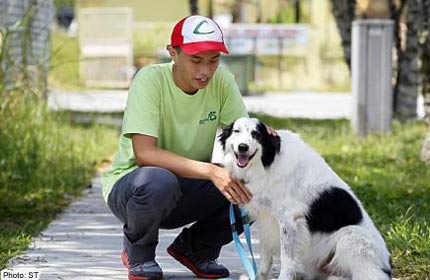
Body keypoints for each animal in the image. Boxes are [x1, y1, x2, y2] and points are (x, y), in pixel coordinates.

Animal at [220, 117, 392, 278]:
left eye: (256, 134)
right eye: (236, 131)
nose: (243, 147)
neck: (269, 162)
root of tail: (387, 265)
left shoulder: (289, 219)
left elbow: (287, 259)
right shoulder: (266, 218)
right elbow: (266, 258)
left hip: (350, 237)